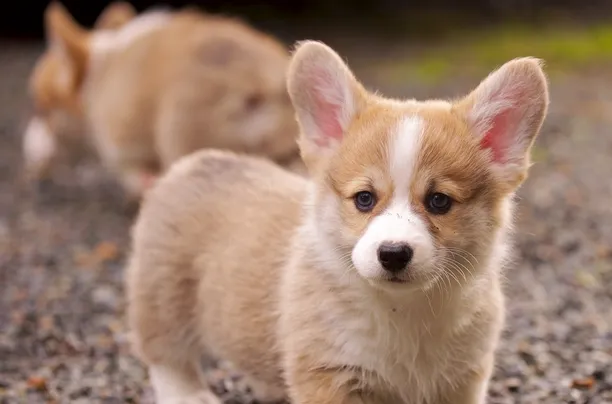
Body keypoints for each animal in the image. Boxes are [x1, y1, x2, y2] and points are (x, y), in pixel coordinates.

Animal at [125, 41, 548, 404]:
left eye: (439, 202)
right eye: (364, 198)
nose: (393, 253)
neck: (403, 312)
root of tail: (201, 160)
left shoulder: (462, 378)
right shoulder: (329, 374)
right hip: (163, 296)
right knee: (165, 355)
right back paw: (187, 393)